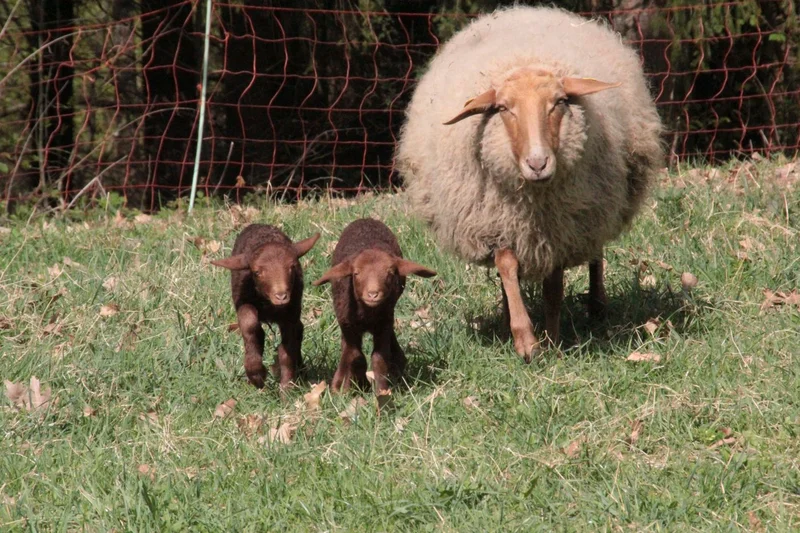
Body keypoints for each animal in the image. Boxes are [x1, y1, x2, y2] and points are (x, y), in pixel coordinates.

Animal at [212, 224, 320, 388]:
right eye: (257, 272)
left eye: (292, 267)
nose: (281, 296)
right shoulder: (243, 302)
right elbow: (250, 327)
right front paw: (256, 374)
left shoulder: (290, 313)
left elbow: (286, 350)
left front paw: (287, 387)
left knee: (298, 332)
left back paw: (300, 370)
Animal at [312, 218, 436, 393]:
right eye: (356, 273)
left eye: (390, 273)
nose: (373, 294)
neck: (367, 314)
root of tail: (366, 219)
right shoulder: (348, 326)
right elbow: (354, 355)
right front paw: (343, 388)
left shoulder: (383, 325)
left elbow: (378, 358)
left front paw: (382, 390)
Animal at [395, 6, 664, 361]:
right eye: (502, 108)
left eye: (560, 102)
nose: (538, 163)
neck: (535, 200)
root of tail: (527, 10)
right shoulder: (496, 222)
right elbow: (507, 267)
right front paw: (524, 339)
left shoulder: (559, 228)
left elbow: (553, 286)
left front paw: (552, 338)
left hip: (593, 207)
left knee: (596, 252)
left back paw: (597, 307)